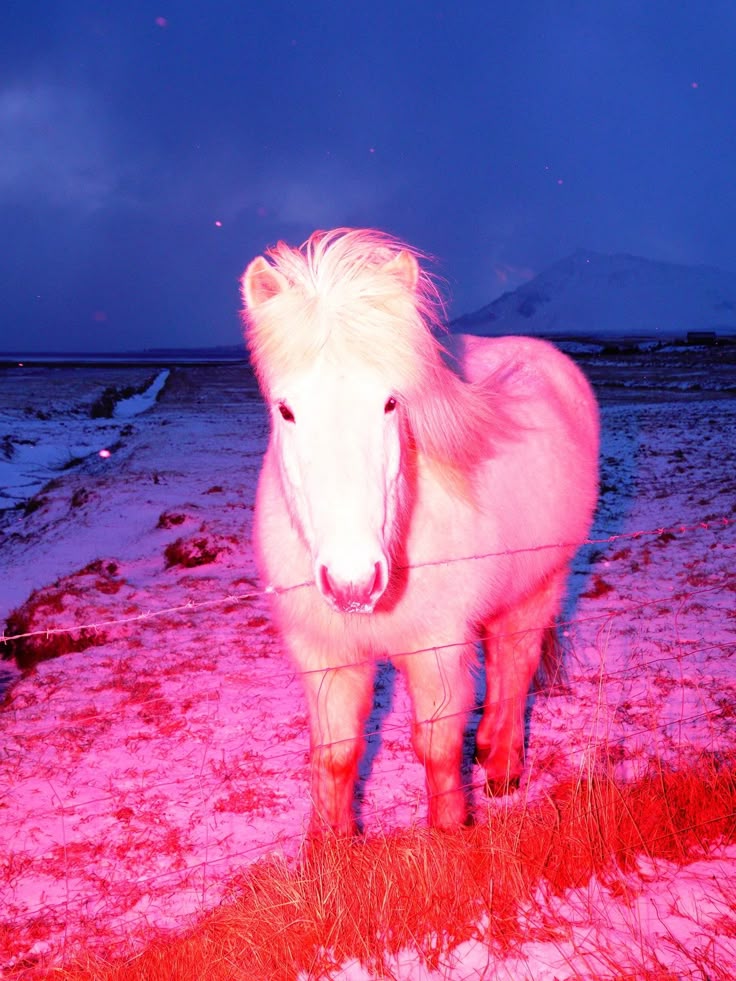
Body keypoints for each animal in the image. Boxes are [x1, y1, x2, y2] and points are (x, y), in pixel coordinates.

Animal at [241, 228, 599, 833]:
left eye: (391, 403)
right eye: (286, 410)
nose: (354, 582)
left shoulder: (436, 649)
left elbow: (436, 746)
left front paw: (451, 835)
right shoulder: (324, 653)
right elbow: (335, 754)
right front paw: (330, 847)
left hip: (542, 582)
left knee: (515, 661)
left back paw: (503, 765)